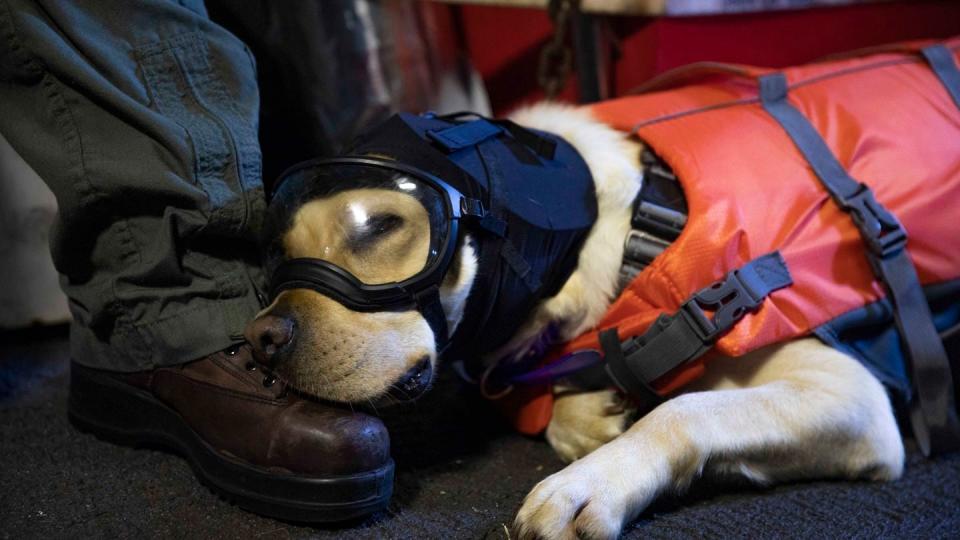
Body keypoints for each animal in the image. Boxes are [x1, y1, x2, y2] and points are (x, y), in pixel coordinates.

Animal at [248, 44, 960, 536]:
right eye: (280, 253)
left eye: (381, 226)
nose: (260, 339)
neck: (624, 230)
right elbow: (569, 415)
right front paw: (596, 417)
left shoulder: (858, 397)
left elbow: (687, 409)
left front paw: (593, 483)